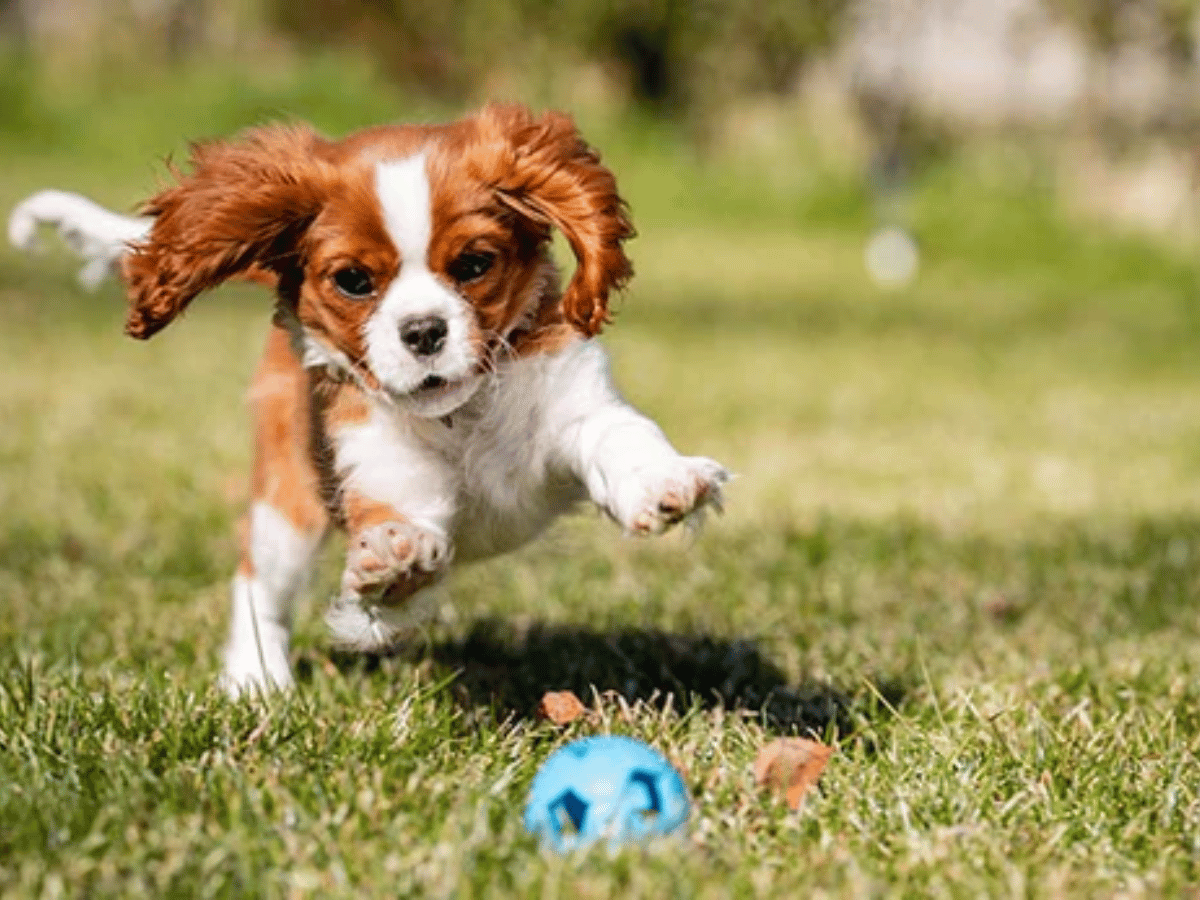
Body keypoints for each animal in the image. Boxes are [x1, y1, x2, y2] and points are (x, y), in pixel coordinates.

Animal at [9, 105, 724, 696]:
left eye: (474, 265)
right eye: (354, 280)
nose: (424, 331)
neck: (461, 415)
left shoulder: (572, 399)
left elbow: (617, 436)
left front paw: (665, 482)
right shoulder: (383, 473)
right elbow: (399, 554)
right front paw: (395, 568)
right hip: (289, 497)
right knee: (260, 582)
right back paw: (256, 681)